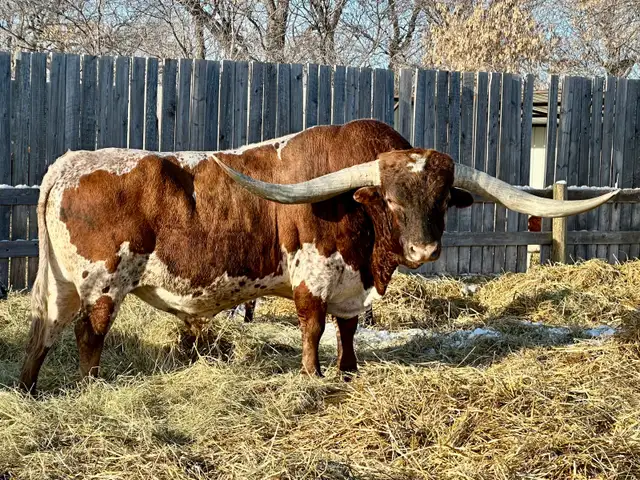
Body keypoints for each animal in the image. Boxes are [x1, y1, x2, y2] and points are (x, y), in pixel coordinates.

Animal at [18, 119, 617, 392]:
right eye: (391, 200)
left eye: (444, 198)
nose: (423, 250)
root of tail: (68, 164)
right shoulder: (313, 277)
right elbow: (313, 327)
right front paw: (312, 375)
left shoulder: (353, 289)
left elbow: (347, 332)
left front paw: (348, 372)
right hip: (104, 281)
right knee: (88, 333)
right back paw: (93, 386)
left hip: (63, 281)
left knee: (42, 327)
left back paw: (27, 389)